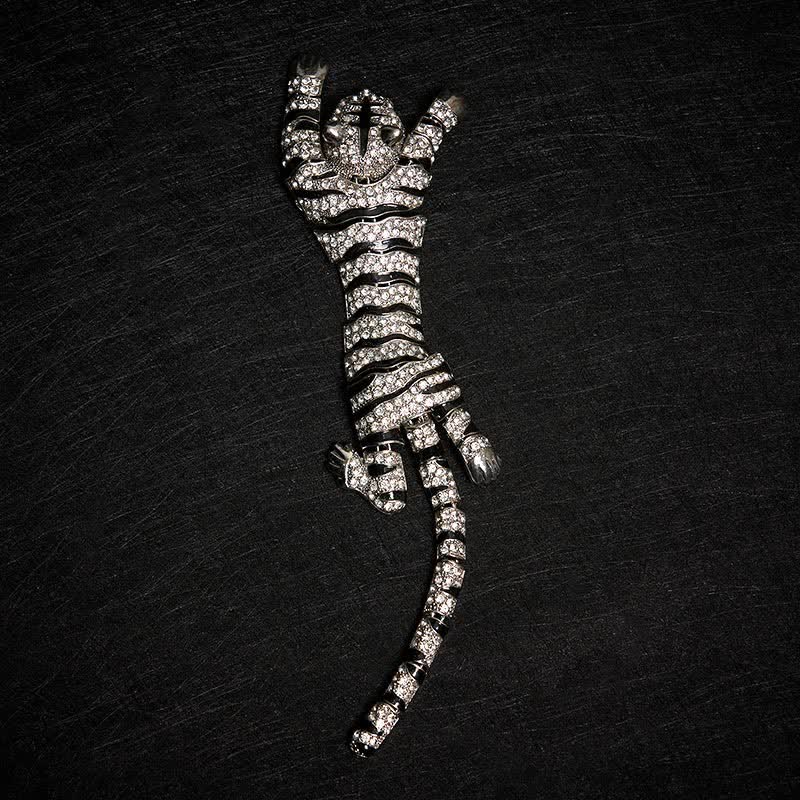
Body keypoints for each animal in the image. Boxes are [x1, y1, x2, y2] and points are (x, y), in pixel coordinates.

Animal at [280, 54, 500, 756]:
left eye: (377, 114)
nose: (365, 95)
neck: (370, 180)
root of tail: (414, 419)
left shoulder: (356, 183)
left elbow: (300, 140)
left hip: (379, 418)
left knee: (393, 481)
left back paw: (356, 469)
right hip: (406, 408)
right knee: (432, 447)